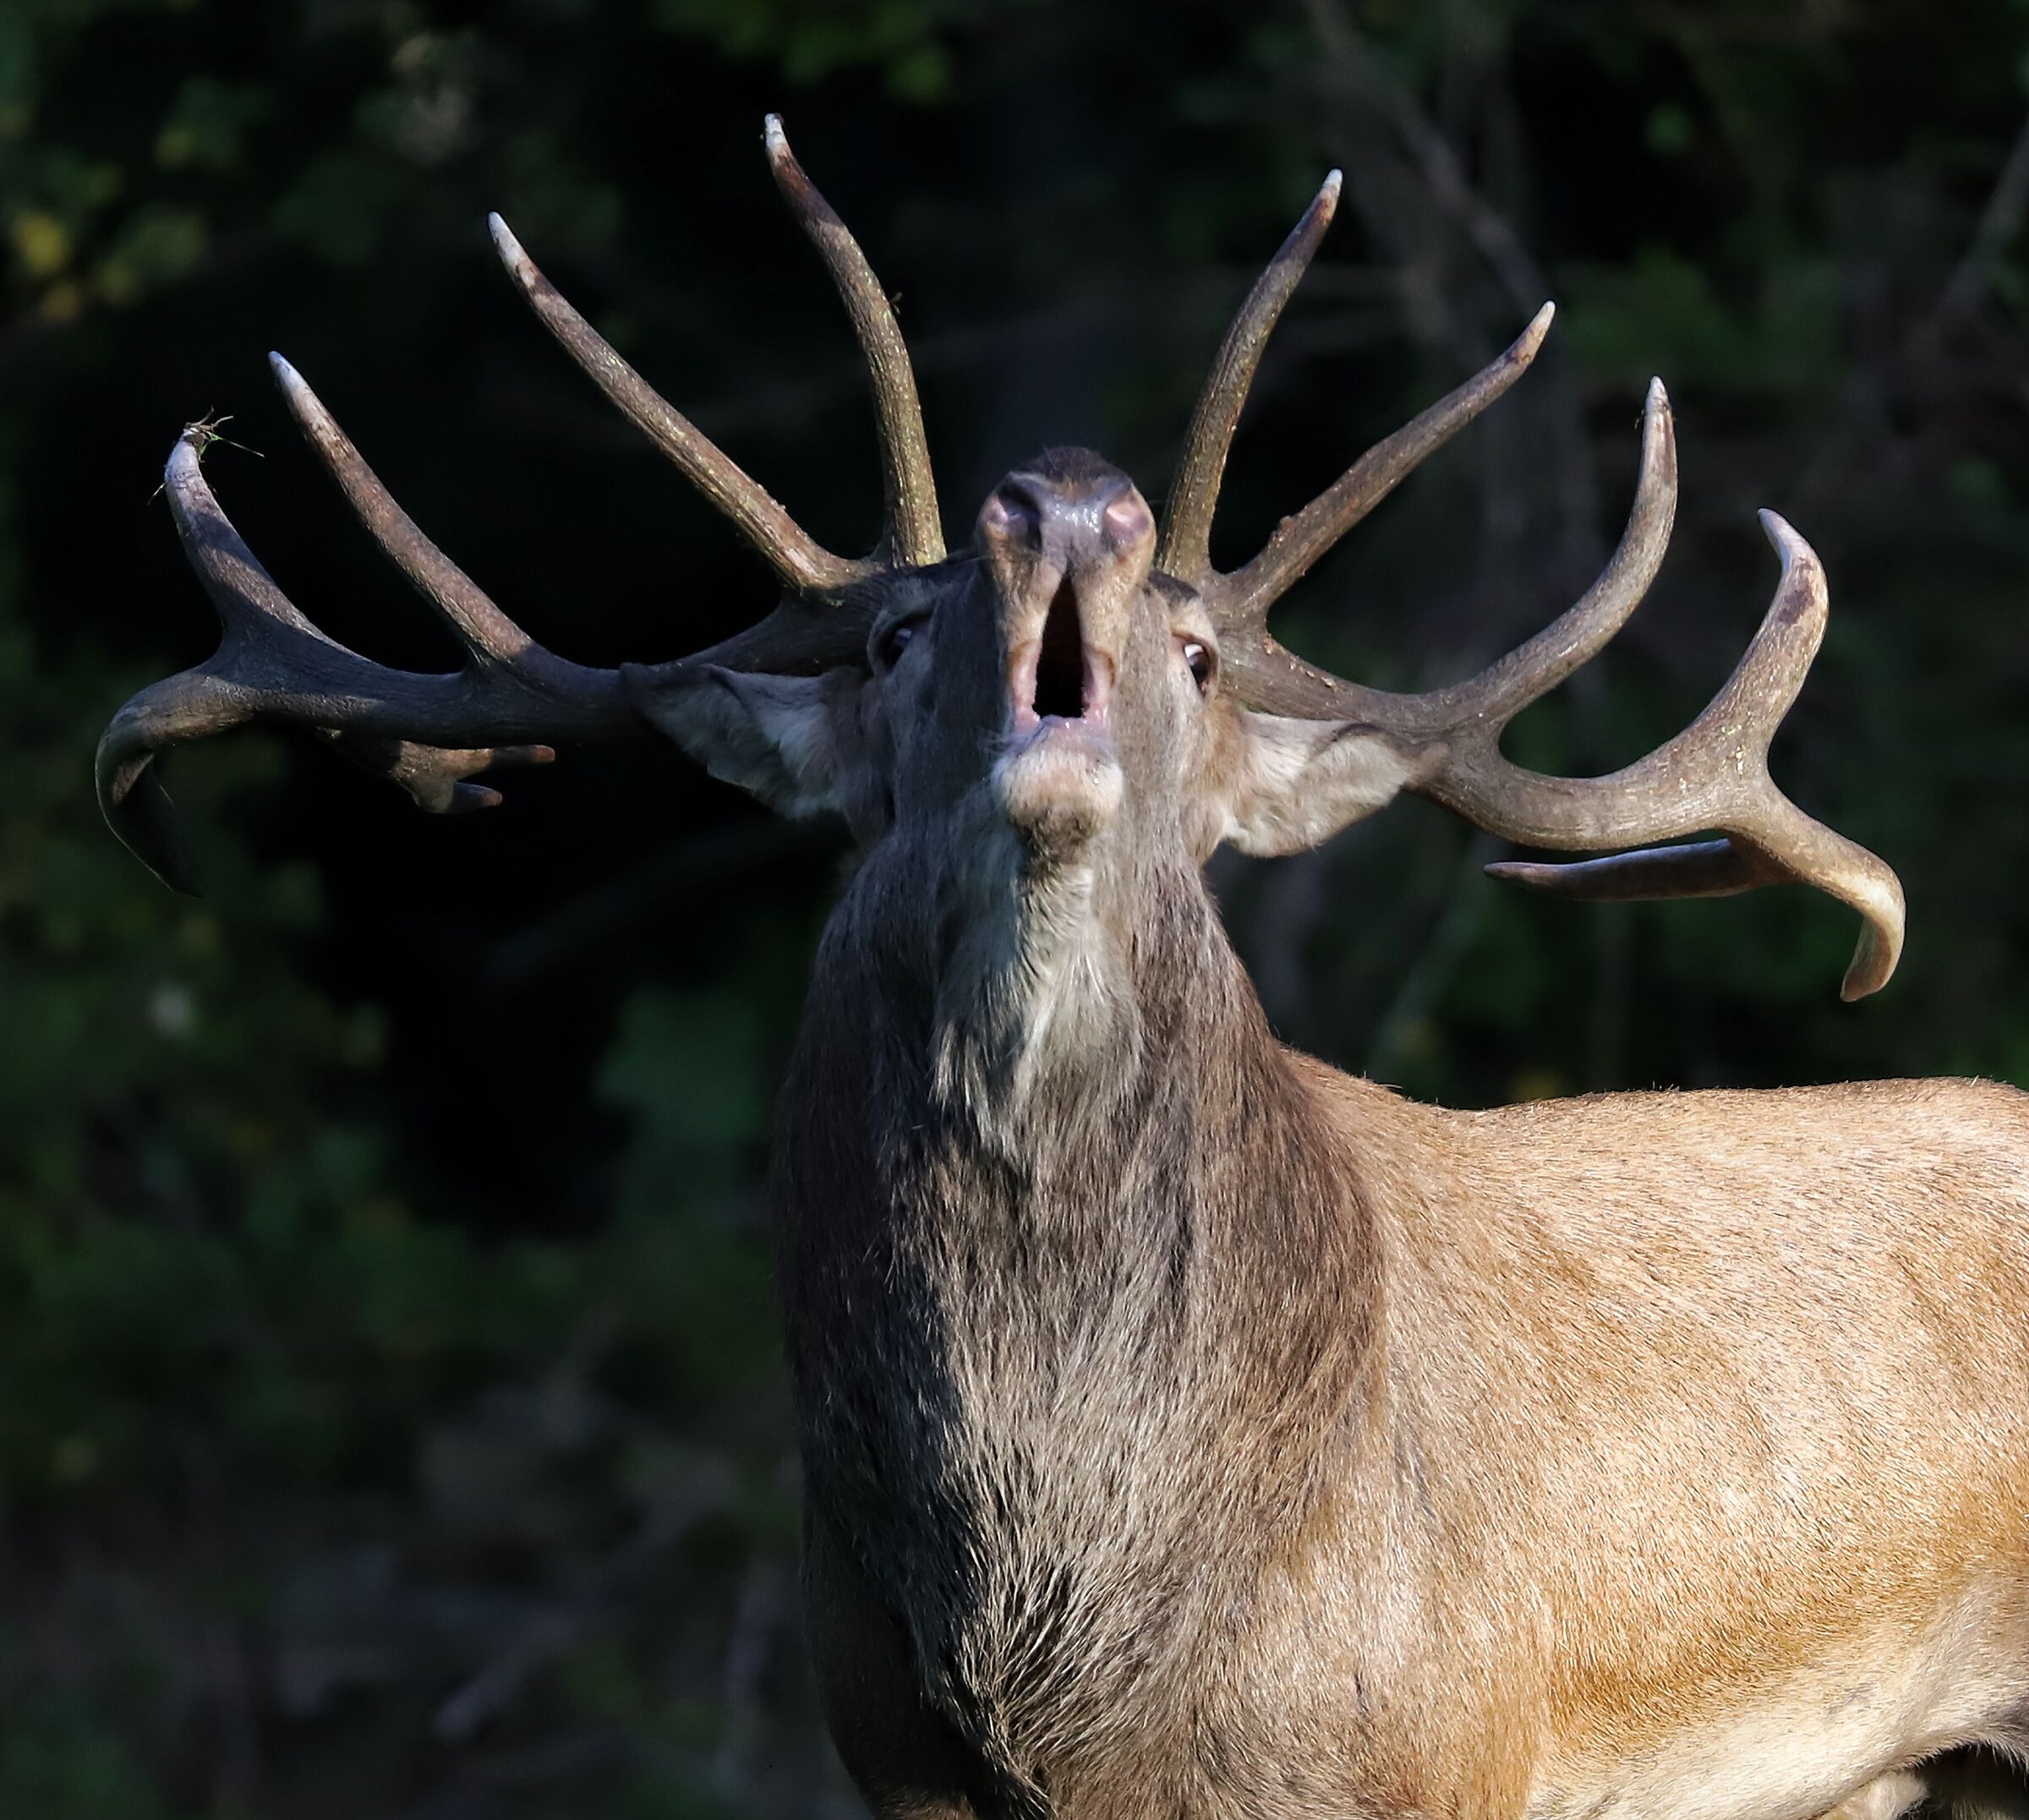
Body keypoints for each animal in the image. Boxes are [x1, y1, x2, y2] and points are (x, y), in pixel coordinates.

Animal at [96, 117, 2029, 1820]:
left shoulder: (1450, 1751)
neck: (1068, 1662)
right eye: (895, 634)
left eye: (1202, 653)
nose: (1067, 498)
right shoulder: (887, 1747)